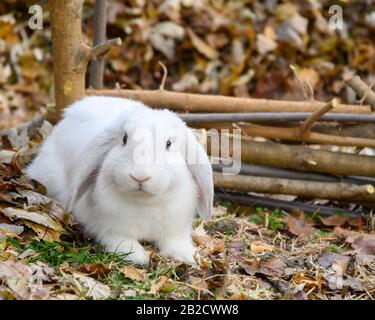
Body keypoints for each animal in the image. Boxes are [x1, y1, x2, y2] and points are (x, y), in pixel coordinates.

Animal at [27, 95, 214, 264]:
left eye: (168, 144)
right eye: (124, 138)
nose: (140, 176)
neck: (143, 203)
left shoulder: (175, 230)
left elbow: (176, 242)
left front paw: (190, 256)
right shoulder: (111, 230)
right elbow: (122, 242)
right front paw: (137, 257)